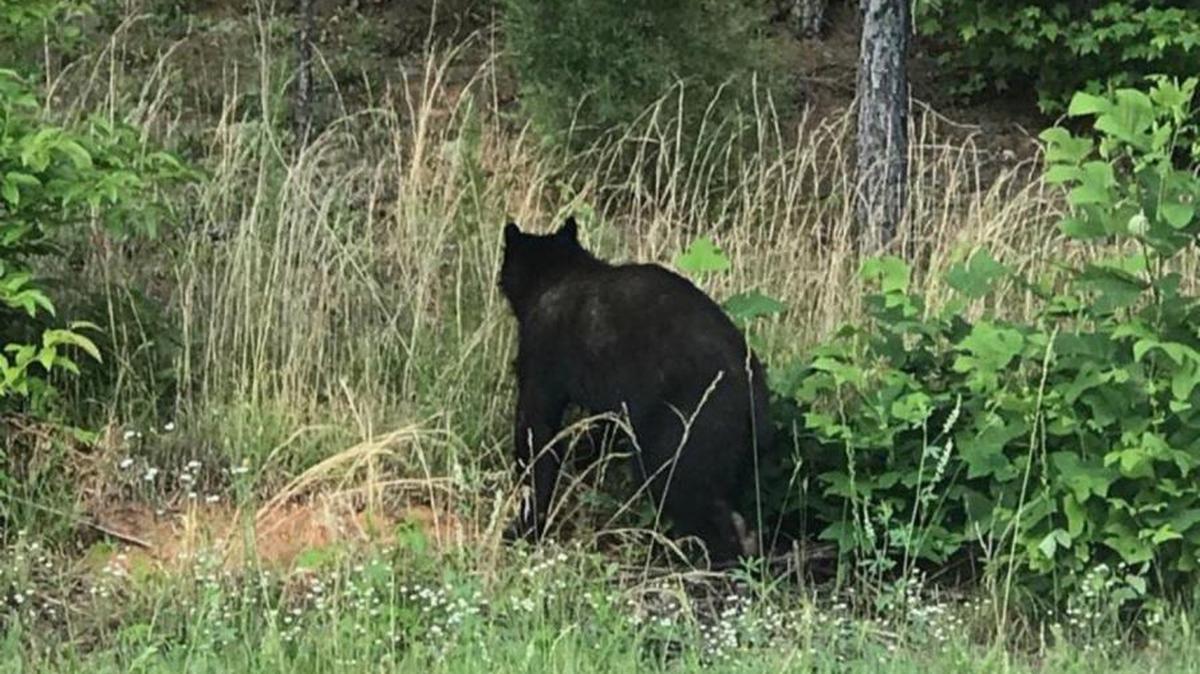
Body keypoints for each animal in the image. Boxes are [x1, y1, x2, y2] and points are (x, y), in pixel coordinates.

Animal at [498, 216, 772, 565]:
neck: (560, 274)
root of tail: (755, 404)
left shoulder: (541, 362)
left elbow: (537, 441)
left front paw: (524, 527)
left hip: (677, 442)